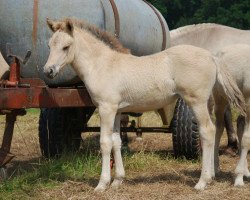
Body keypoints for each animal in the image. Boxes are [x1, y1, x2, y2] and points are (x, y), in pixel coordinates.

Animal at [44, 18, 245, 191]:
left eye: (66, 46)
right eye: (49, 45)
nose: (48, 71)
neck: (102, 65)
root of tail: (212, 56)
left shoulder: (106, 108)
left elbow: (105, 143)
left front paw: (102, 184)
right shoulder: (117, 111)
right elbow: (116, 141)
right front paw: (118, 180)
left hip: (196, 102)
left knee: (208, 131)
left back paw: (203, 181)